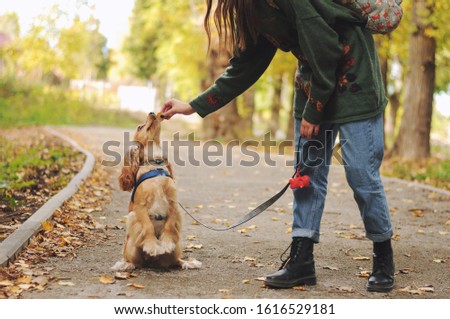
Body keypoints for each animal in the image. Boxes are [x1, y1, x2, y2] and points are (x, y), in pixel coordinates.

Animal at [112, 113, 202, 272]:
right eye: (140, 127)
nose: (152, 113)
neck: (156, 165)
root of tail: (151, 262)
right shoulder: (139, 208)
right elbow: (147, 226)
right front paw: (152, 246)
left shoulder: (173, 204)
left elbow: (170, 225)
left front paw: (165, 244)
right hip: (131, 245)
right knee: (134, 262)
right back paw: (126, 264)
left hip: (177, 247)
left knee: (176, 260)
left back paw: (183, 262)